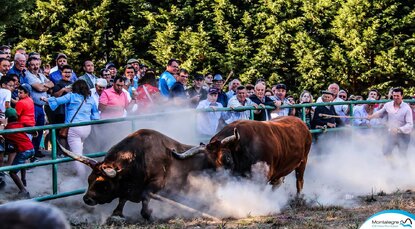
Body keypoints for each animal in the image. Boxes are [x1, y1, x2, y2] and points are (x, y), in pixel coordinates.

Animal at [59, 129, 214, 220]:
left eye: (104, 184)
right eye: (89, 179)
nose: (87, 199)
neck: (137, 158)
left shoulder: (157, 183)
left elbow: (145, 197)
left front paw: (148, 214)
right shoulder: (127, 188)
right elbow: (122, 199)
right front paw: (117, 213)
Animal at [176, 116, 312, 193]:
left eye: (227, 158)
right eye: (210, 163)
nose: (223, 180)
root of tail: (301, 123)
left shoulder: (262, 177)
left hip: (303, 161)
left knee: (299, 182)